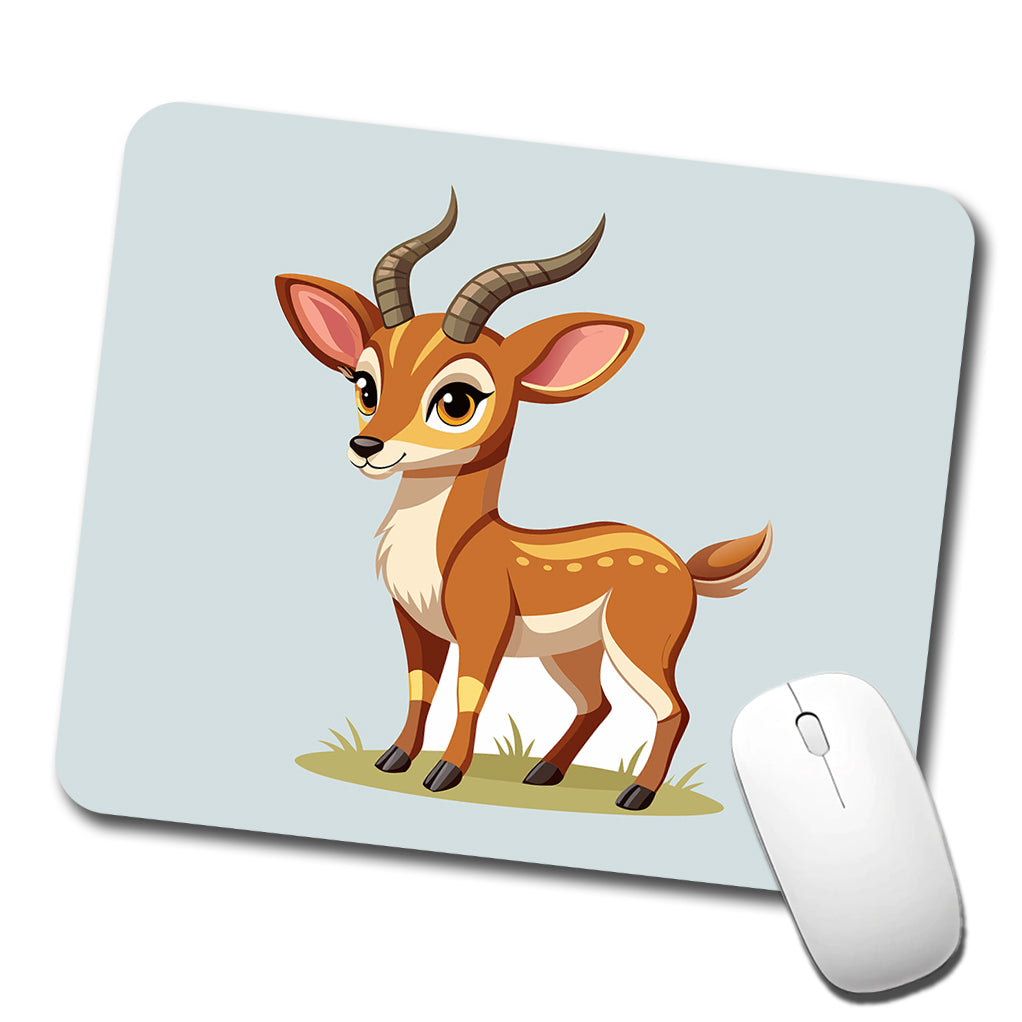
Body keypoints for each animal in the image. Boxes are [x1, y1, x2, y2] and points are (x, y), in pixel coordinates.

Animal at [276, 190, 772, 810]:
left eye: (456, 400)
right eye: (365, 386)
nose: (367, 447)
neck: (453, 546)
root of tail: (681, 563)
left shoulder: (482, 629)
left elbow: (468, 695)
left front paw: (444, 773)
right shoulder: (414, 623)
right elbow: (419, 689)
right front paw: (394, 759)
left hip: (637, 646)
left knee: (673, 708)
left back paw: (635, 793)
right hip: (572, 653)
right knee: (598, 703)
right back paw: (543, 772)